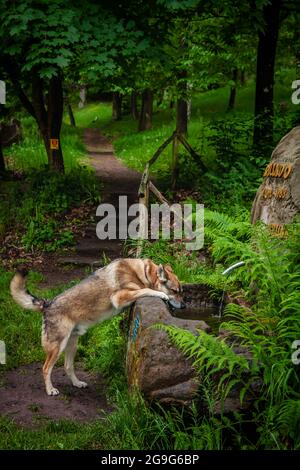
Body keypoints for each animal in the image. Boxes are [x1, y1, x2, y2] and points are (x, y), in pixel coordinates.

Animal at [10, 258, 184, 394]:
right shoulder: (120, 297)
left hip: (71, 345)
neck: (143, 273)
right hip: (58, 347)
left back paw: (77, 383)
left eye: (181, 291)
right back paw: (50, 390)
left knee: (67, 367)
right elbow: (146, 289)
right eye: (175, 291)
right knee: (46, 368)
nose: (184, 305)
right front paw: (162, 294)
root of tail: (46, 304)